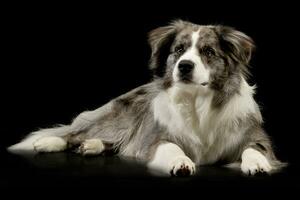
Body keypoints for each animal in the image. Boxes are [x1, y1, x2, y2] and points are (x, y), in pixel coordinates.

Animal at [7, 20, 284, 177]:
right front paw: (181, 162)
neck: (197, 102)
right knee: (76, 132)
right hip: (117, 119)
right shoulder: (155, 139)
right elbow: (171, 147)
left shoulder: (257, 137)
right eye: (179, 50)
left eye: (208, 51)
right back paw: (49, 142)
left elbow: (254, 148)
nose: (184, 66)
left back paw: (92, 146)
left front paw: (258, 164)